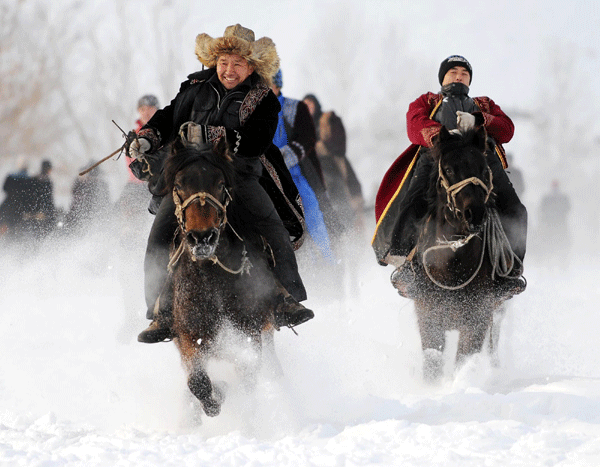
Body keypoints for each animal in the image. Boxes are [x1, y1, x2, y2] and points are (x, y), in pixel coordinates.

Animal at [159, 138, 282, 416]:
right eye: (179, 185)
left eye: (220, 183)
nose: (202, 237)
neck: (210, 279)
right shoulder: (188, 336)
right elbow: (198, 381)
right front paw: (215, 399)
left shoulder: (250, 331)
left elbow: (247, 373)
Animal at [404, 126, 524, 382]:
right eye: (449, 169)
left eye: (484, 168)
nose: (474, 214)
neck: (451, 264)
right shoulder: (428, 315)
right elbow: (432, 362)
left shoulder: (477, 317)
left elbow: (465, 357)